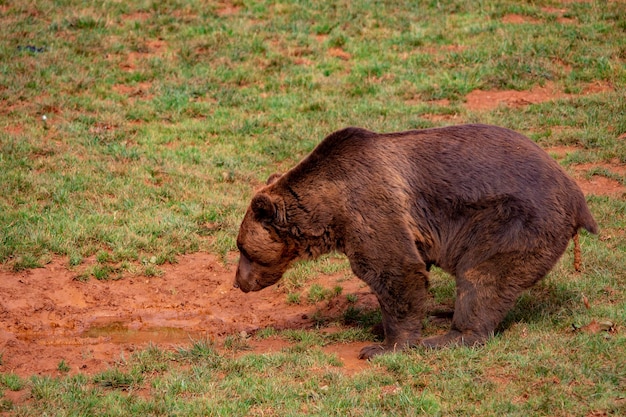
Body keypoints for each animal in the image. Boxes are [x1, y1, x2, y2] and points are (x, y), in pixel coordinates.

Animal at [233, 122, 596, 358]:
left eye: (241, 248)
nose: (239, 282)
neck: (329, 208)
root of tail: (578, 198)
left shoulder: (370, 205)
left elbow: (395, 270)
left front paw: (384, 346)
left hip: (515, 220)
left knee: (481, 275)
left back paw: (450, 337)